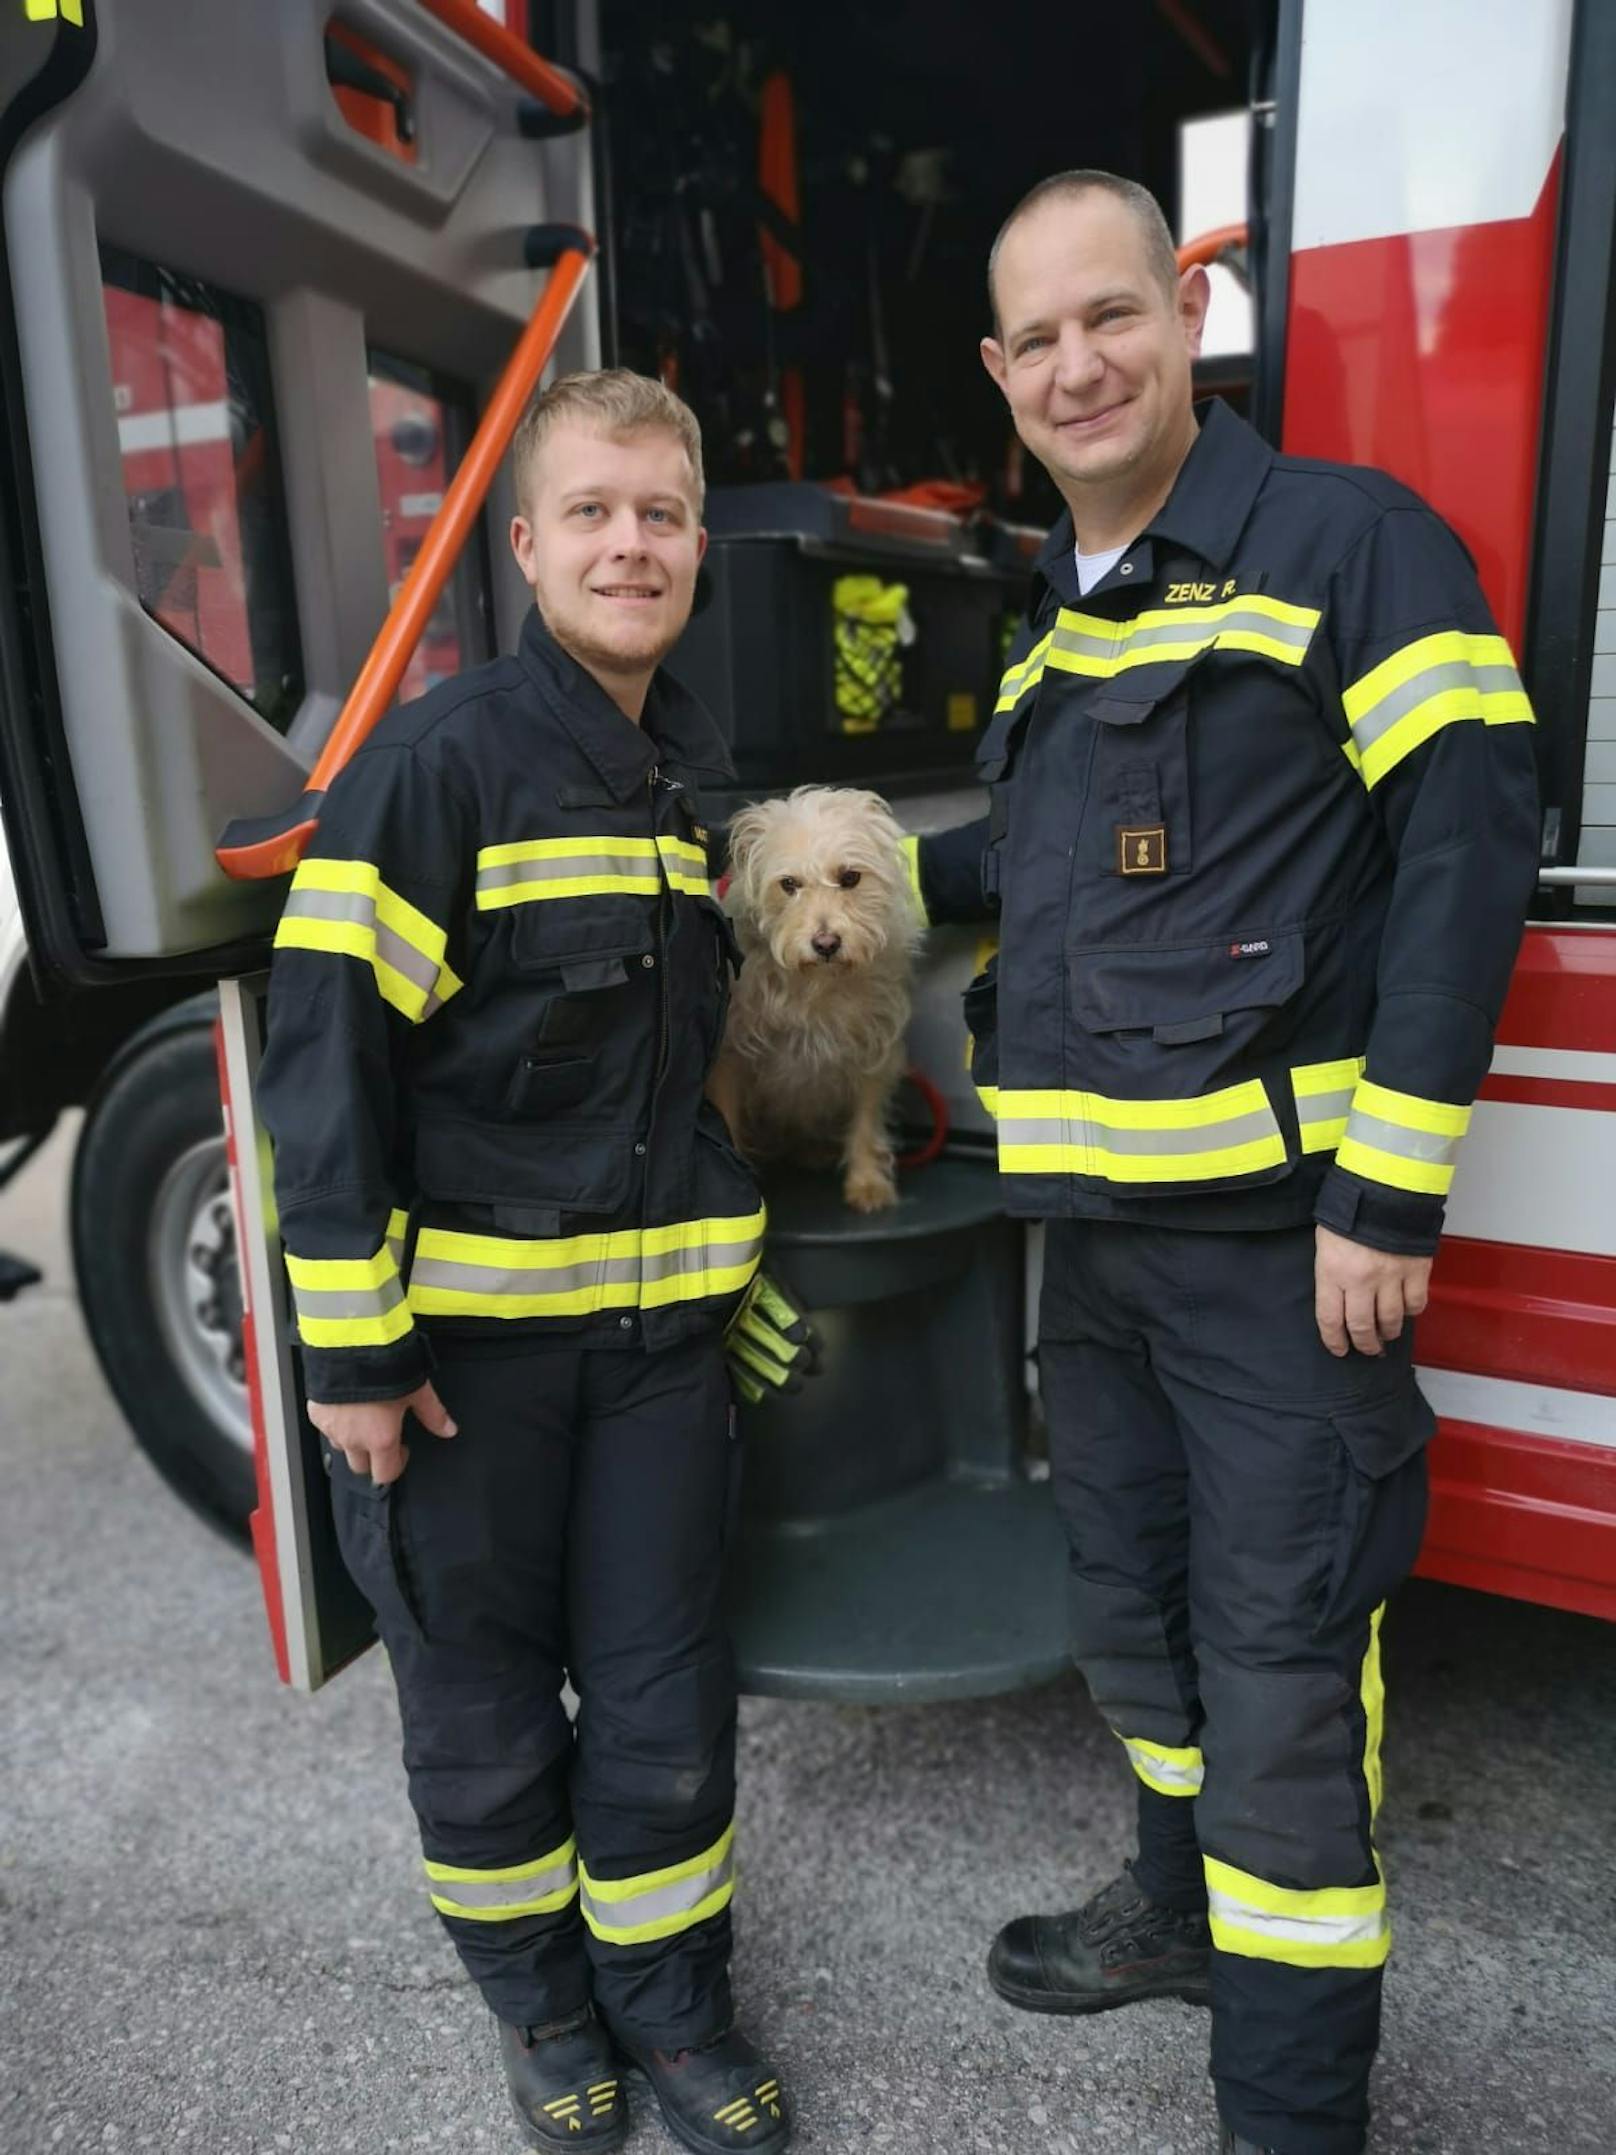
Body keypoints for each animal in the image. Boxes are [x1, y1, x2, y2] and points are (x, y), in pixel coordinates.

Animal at [711, 784, 922, 1215]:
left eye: (850, 877)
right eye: (789, 884)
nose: (826, 943)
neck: (816, 983)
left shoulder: (875, 1045)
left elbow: (867, 1116)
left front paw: (867, 1182)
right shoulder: (732, 1053)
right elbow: (726, 1114)